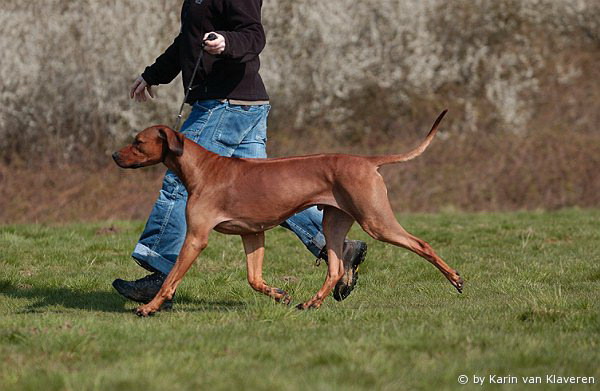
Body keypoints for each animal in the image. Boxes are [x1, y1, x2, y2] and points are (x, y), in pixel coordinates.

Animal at [113, 108, 464, 316]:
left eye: (138, 142)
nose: (115, 155)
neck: (203, 167)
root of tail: (366, 160)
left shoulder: (197, 237)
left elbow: (171, 278)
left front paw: (150, 306)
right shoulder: (253, 233)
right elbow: (254, 278)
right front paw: (278, 294)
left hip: (375, 220)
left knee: (422, 244)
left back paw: (456, 279)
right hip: (335, 222)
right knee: (336, 267)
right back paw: (312, 302)